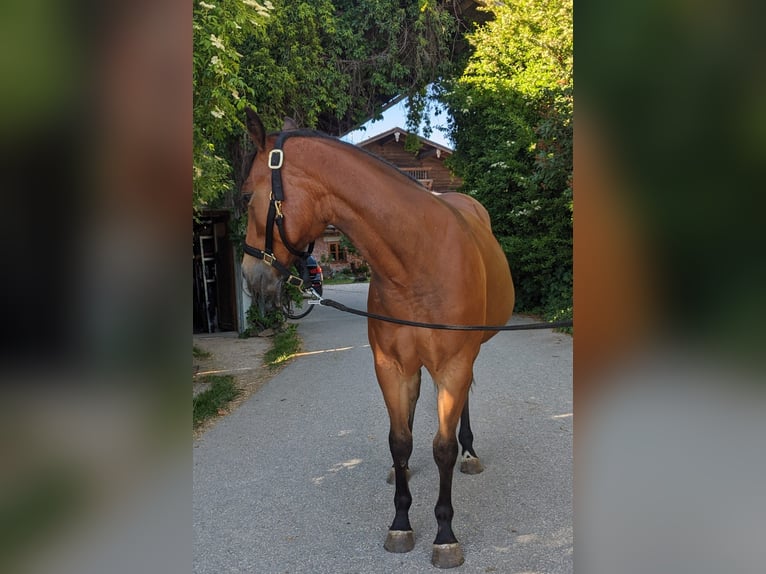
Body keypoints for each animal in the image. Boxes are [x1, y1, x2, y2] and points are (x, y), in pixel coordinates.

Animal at [240, 108, 514, 568]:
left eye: (246, 197)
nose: (251, 277)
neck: (417, 260)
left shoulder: (454, 364)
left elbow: (442, 447)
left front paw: (444, 534)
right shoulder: (391, 365)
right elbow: (399, 441)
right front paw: (401, 523)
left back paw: (470, 454)